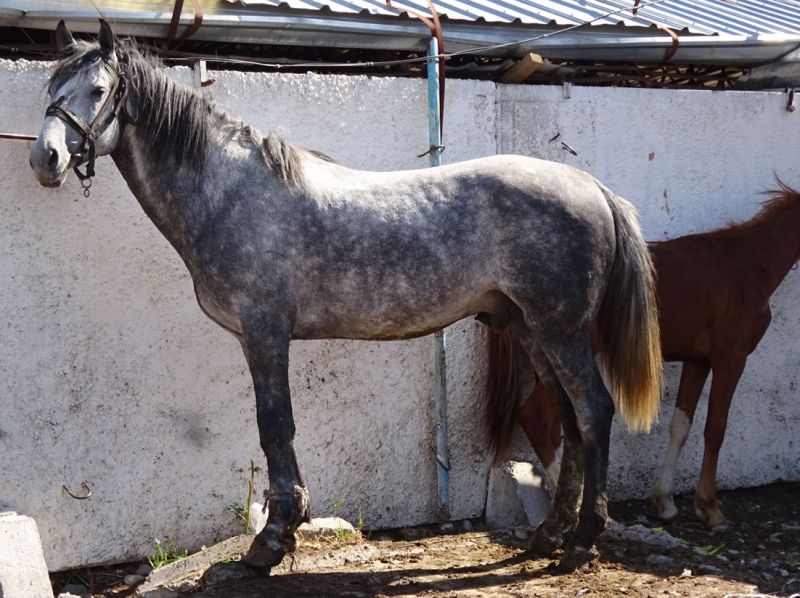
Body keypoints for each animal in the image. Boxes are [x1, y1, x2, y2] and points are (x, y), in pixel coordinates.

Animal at [28, 21, 660, 576]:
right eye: (51, 91)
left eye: (98, 90)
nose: (45, 159)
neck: (228, 192)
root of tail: (592, 187)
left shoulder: (264, 332)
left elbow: (274, 426)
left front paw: (271, 543)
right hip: (530, 329)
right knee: (571, 420)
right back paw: (548, 537)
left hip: (560, 329)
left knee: (594, 411)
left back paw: (581, 543)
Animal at [484, 184, 800, 528]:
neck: (746, 265)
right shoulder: (730, 359)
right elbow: (715, 429)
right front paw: (709, 507)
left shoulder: (697, 361)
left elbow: (681, 425)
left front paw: (664, 501)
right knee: (538, 417)